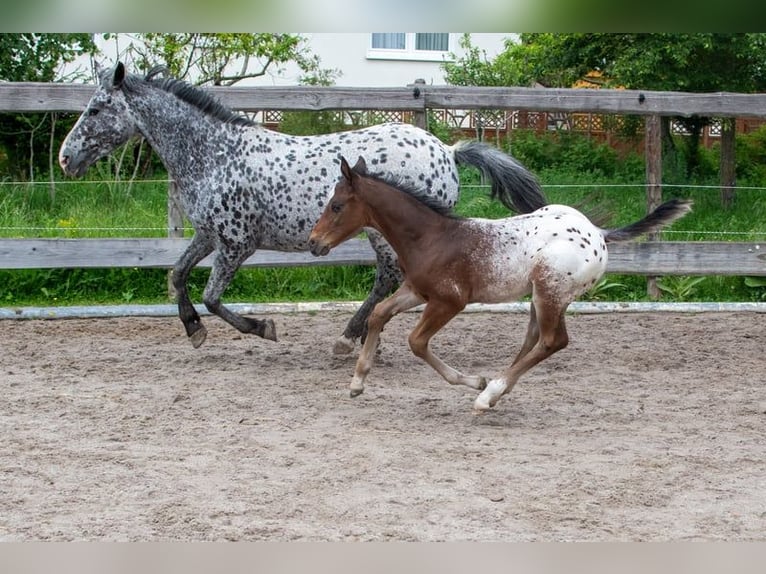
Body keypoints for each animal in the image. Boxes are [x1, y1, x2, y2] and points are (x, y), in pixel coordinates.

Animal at [58, 61, 547, 353]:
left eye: (97, 109)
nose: (65, 158)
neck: (215, 153)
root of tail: (447, 150)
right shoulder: (208, 235)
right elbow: (176, 276)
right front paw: (194, 331)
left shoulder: (237, 244)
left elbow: (213, 296)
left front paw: (263, 328)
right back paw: (362, 337)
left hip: (385, 232)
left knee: (388, 278)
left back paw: (349, 339)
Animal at [308, 156, 692, 412]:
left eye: (337, 205)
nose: (313, 243)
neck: (431, 238)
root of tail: (597, 233)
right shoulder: (416, 291)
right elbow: (378, 315)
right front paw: (357, 382)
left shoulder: (449, 301)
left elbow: (416, 342)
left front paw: (473, 382)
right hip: (541, 297)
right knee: (535, 340)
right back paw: (498, 390)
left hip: (549, 292)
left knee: (553, 341)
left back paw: (487, 394)